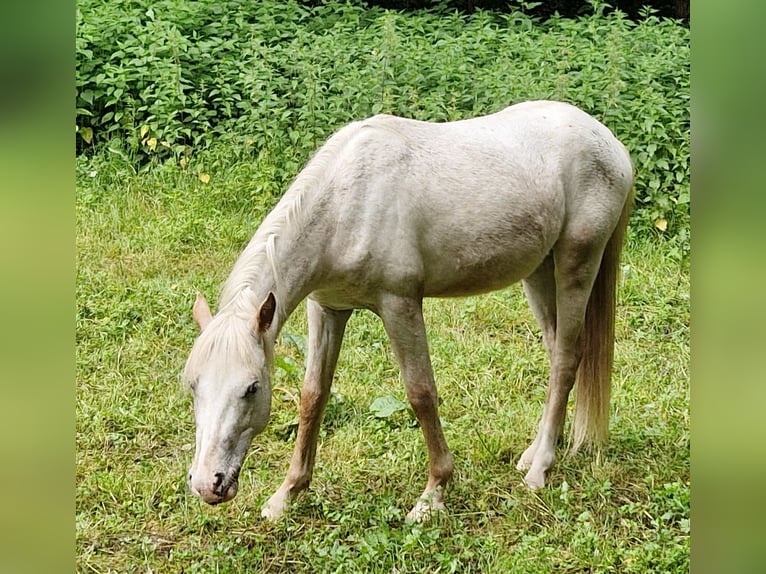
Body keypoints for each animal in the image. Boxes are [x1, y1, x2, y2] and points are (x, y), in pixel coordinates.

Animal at [183, 101, 632, 524]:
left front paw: (433, 495)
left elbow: (421, 394)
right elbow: (313, 396)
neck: (346, 204)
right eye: (192, 385)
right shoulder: (327, 308)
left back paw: (539, 470)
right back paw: (535, 453)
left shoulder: (399, 305)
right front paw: (285, 495)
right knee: (557, 355)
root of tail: (611, 143)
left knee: (567, 359)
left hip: (576, 265)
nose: (208, 484)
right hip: (538, 273)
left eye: (252, 387)